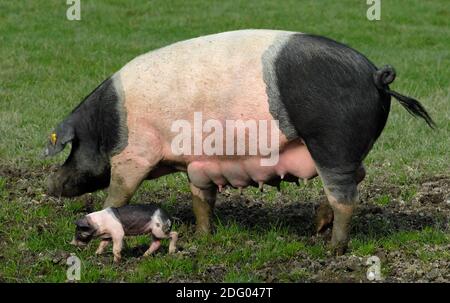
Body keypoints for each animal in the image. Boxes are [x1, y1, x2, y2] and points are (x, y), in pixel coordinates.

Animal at [44, 30, 432, 256]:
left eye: (73, 147)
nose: (50, 185)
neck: (109, 125)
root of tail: (376, 76)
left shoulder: (134, 154)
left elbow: (118, 193)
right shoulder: (197, 164)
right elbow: (201, 198)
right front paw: (202, 237)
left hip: (331, 142)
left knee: (345, 196)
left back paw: (331, 249)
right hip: (347, 149)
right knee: (357, 177)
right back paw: (317, 229)